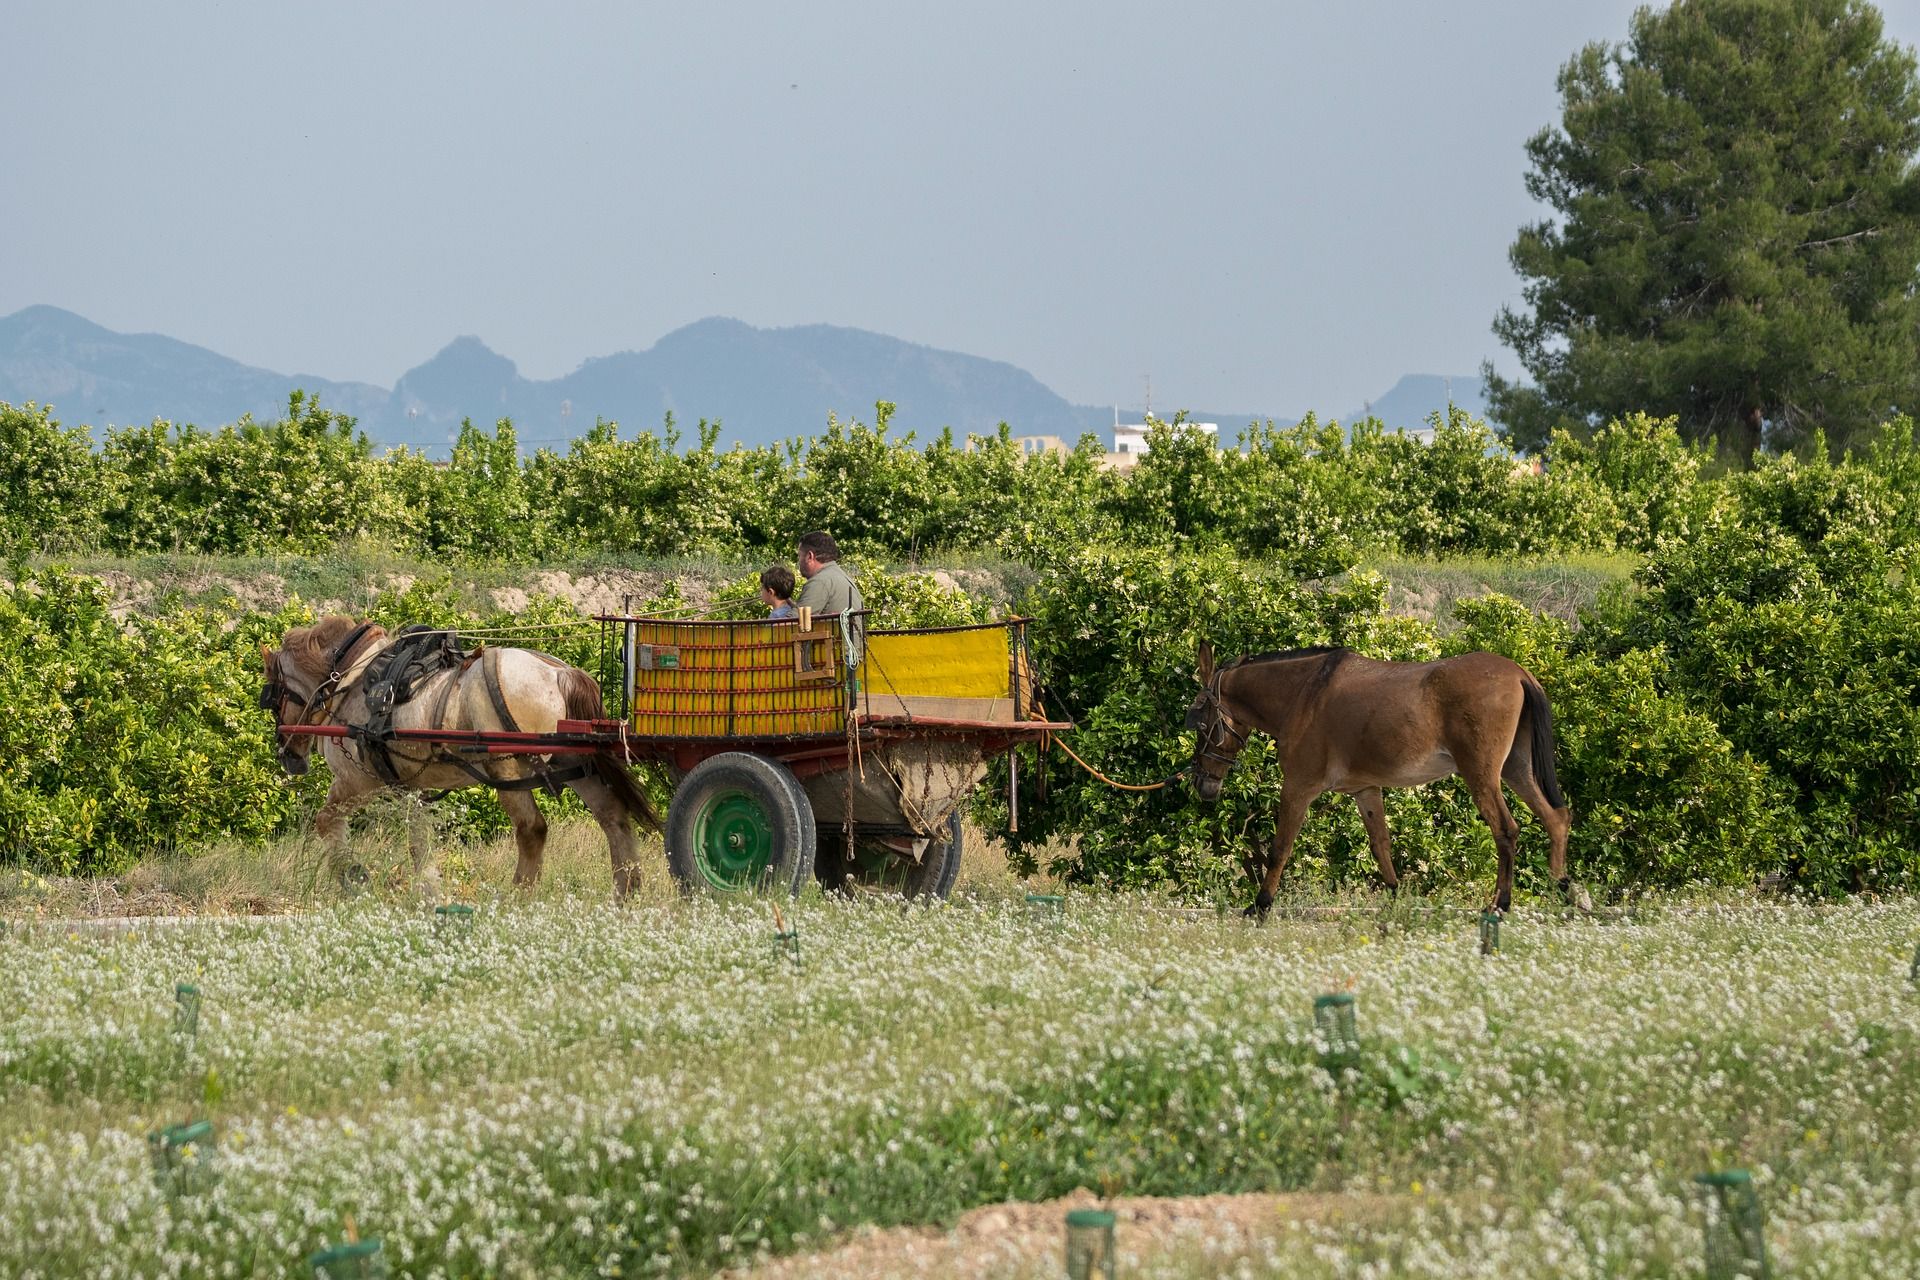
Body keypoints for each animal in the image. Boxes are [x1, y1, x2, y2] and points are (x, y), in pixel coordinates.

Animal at [261, 617, 660, 901]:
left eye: (274, 696)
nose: (287, 755)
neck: (352, 679)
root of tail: (559, 673)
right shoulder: (411, 789)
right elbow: (419, 842)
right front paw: (428, 888)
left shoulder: (356, 780)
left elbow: (326, 821)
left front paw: (352, 875)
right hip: (574, 762)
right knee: (612, 816)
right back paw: (626, 891)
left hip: (509, 769)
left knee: (532, 829)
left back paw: (518, 896)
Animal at [1182, 644, 1574, 917]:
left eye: (1200, 723)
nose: (1203, 783)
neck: (1305, 692)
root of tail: (1518, 672)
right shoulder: (1365, 790)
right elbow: (1380, 845)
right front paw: (1395, 898)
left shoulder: (1298, 786)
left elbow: (1280, 848)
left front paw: (1261, 904)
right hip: (1516, 769)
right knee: (1556, 818)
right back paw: (1565, 891)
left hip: (1482, 774)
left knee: (1506, 830)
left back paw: (1501, 903)